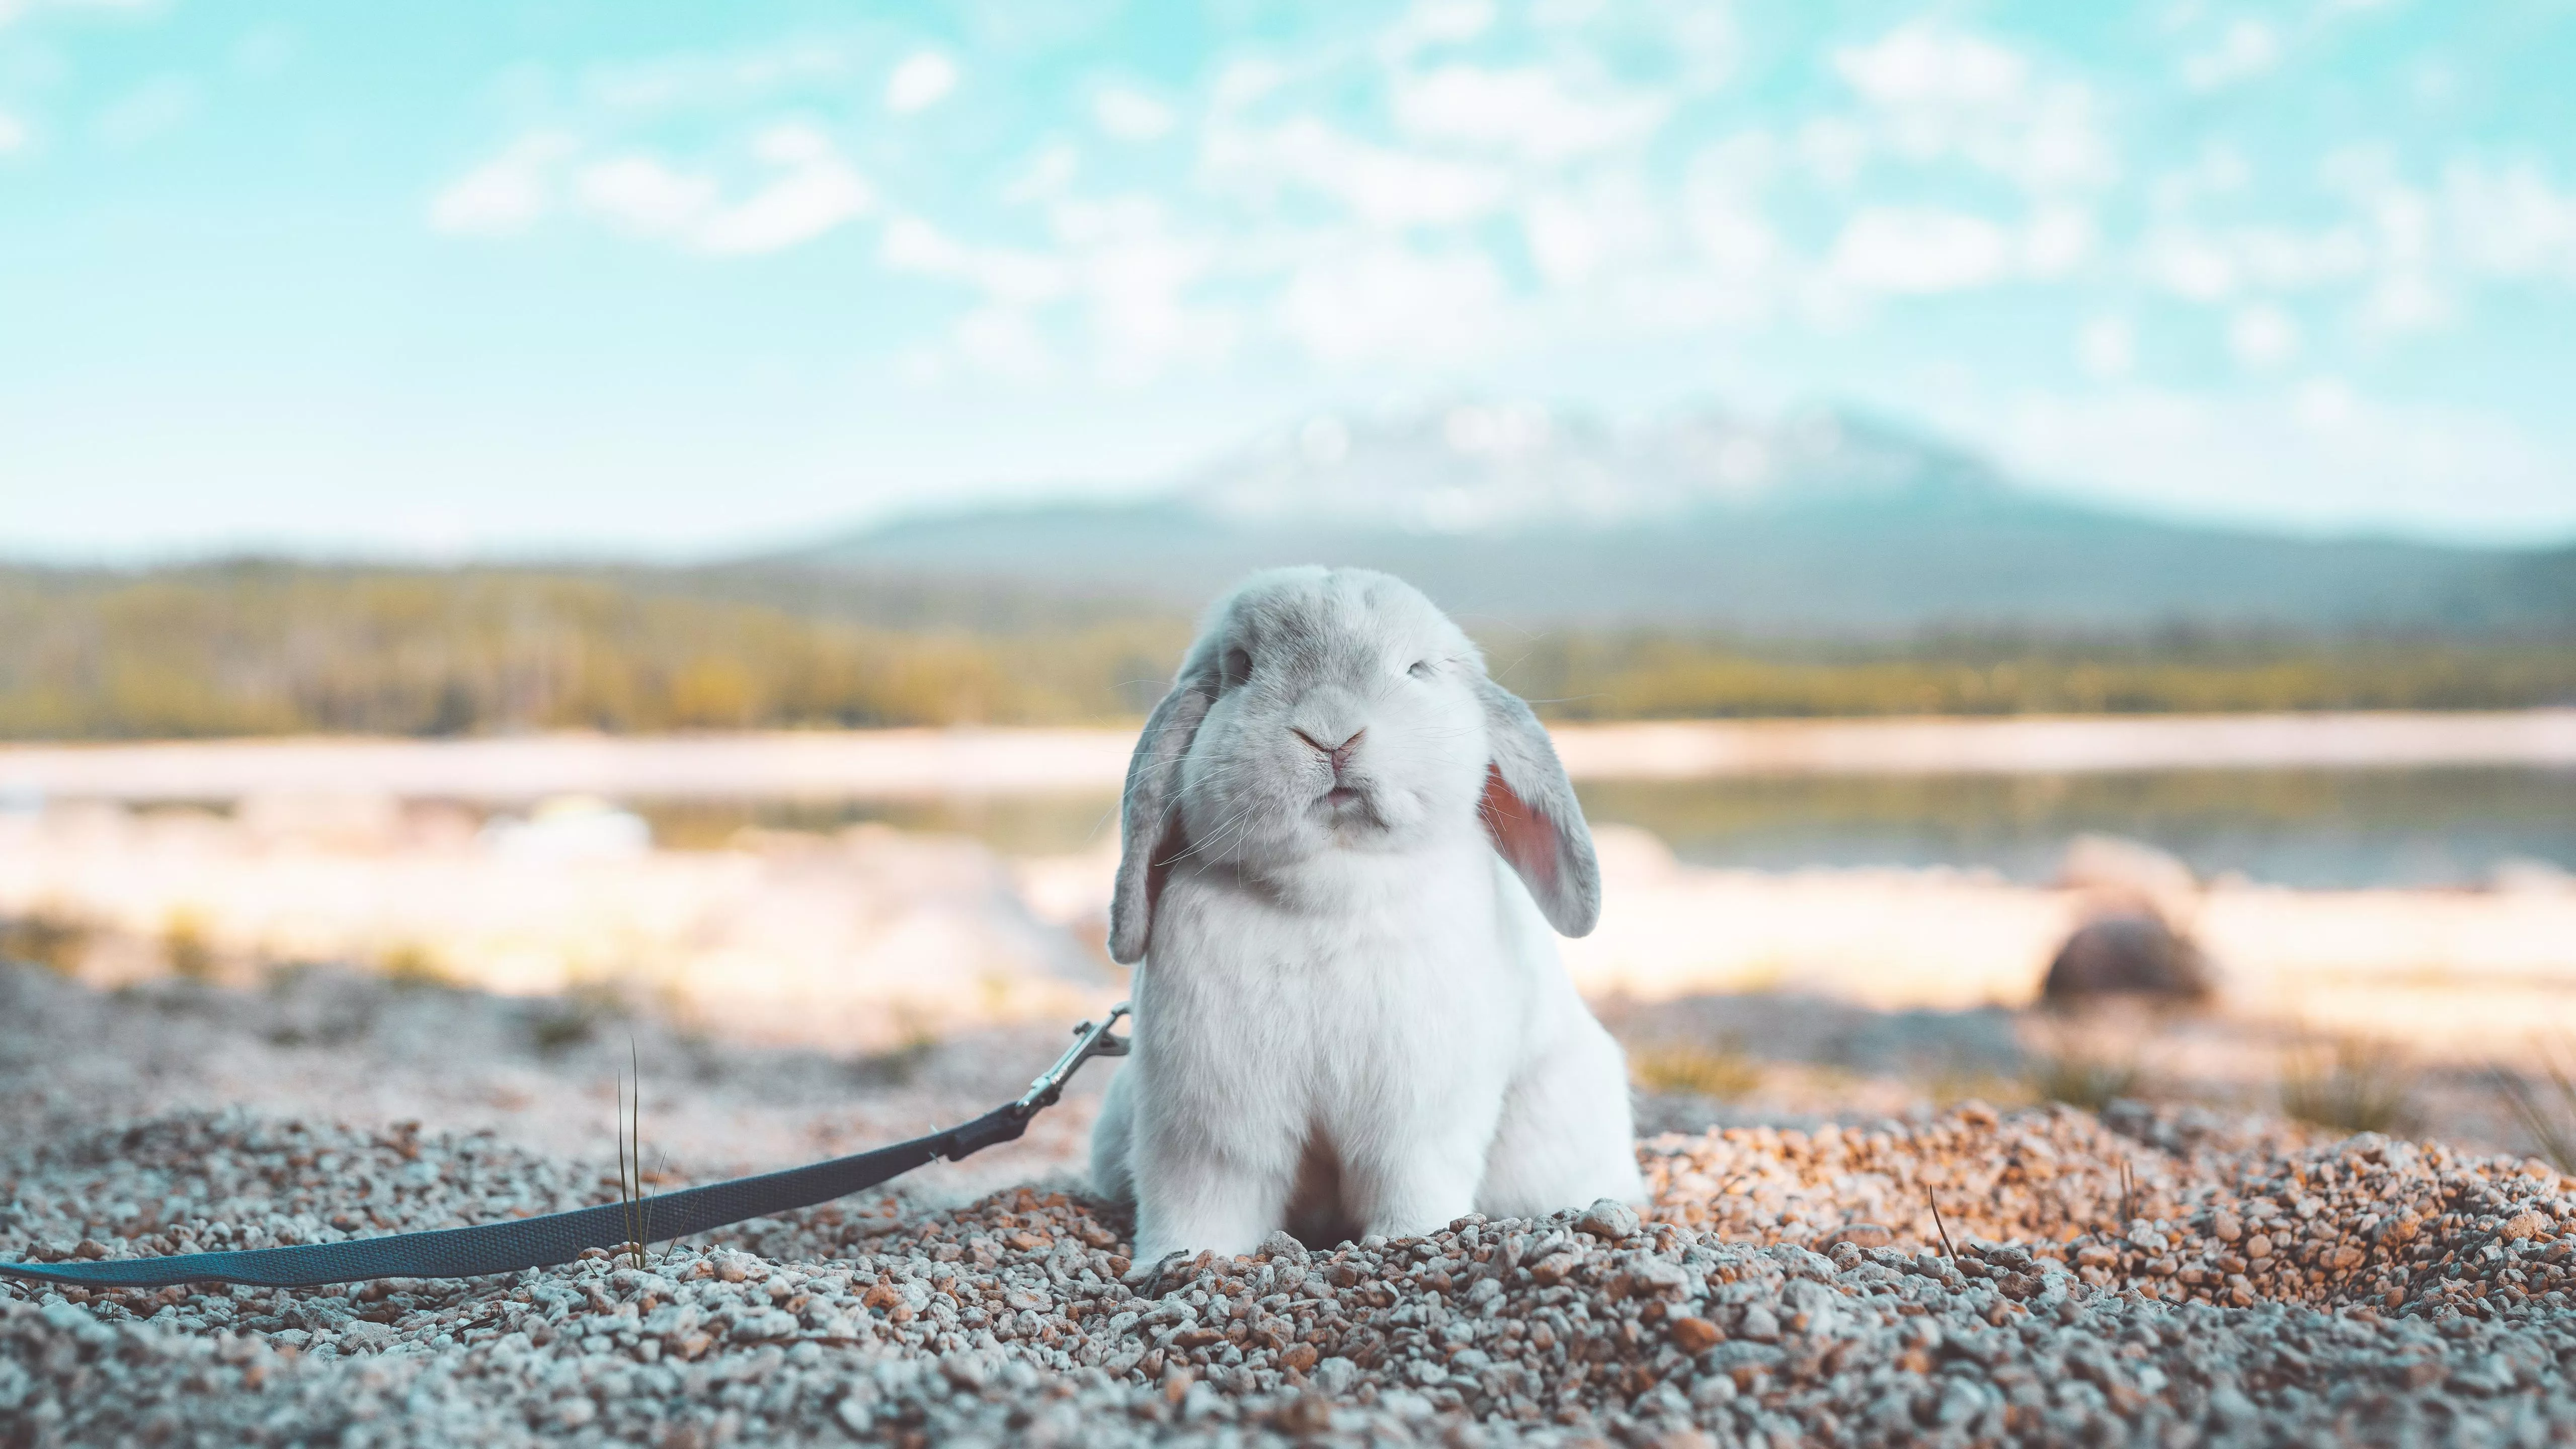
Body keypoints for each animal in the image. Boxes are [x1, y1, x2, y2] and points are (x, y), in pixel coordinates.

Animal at [1089, 565, 1642, 1268]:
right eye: (1240, 666)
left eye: (1416, 669)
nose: (1332, 731)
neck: (1330, 889)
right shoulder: (1209, 1127)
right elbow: (1202, 1200)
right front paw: (1180, 1261)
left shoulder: (1416, 1119)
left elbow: (1409, 1183)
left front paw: (1412, 1239)